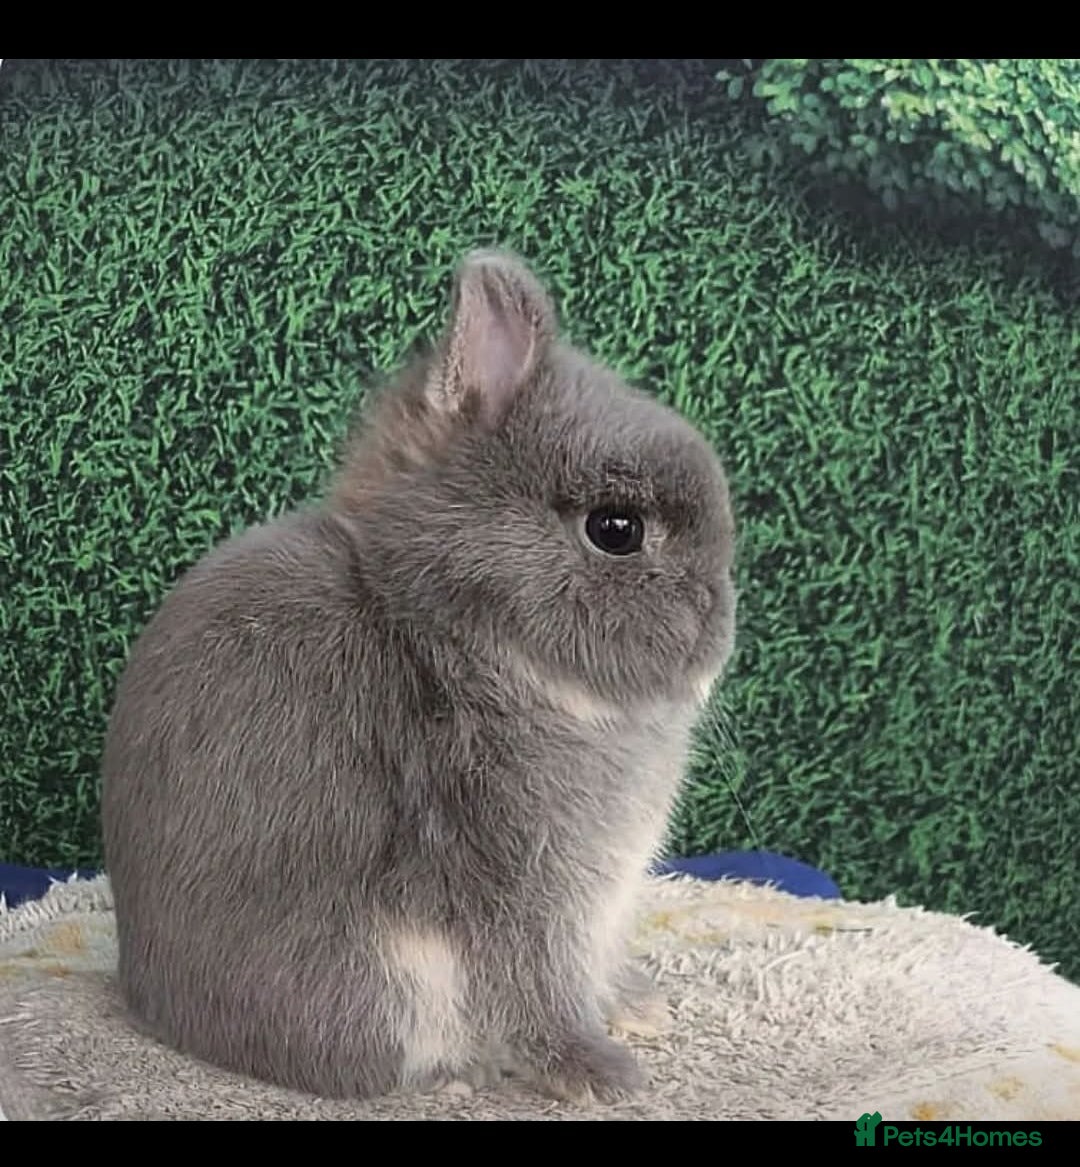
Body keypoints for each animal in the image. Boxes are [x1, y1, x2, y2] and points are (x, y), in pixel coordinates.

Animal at [100, 248, 737, 1105]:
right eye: (616, 529)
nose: (717, 627)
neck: (463, 638)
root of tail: (145, 998)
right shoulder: (519, 883)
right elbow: (537, 988)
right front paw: (599, 1074)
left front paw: (638, 1009)